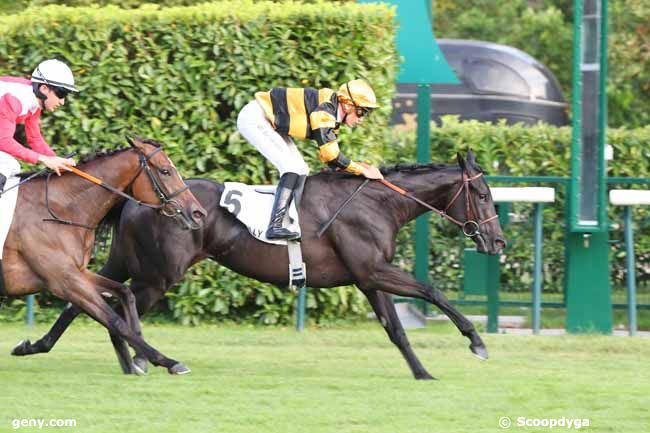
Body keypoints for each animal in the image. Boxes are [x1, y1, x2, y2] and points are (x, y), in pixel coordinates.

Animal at [1, 137, 205, 372]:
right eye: (165, 171)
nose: (198, 213)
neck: (59, 210)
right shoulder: (64, 281)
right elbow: (115, 321)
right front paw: (167, 361)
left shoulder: (78, 272)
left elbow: (125, 292)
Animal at [12, 149, 504, 378]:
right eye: (482, 194)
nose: (497, 241)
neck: (377, 204)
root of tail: (136, 200)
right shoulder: (372, 270)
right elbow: (431, 290)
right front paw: (477, 341)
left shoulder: (367, 280)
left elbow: (397, 330)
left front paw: (422, 372)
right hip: (158, 275)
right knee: (112, 305)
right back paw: (143, 358)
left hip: (123, 263)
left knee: (82, 301)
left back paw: (39, 346)